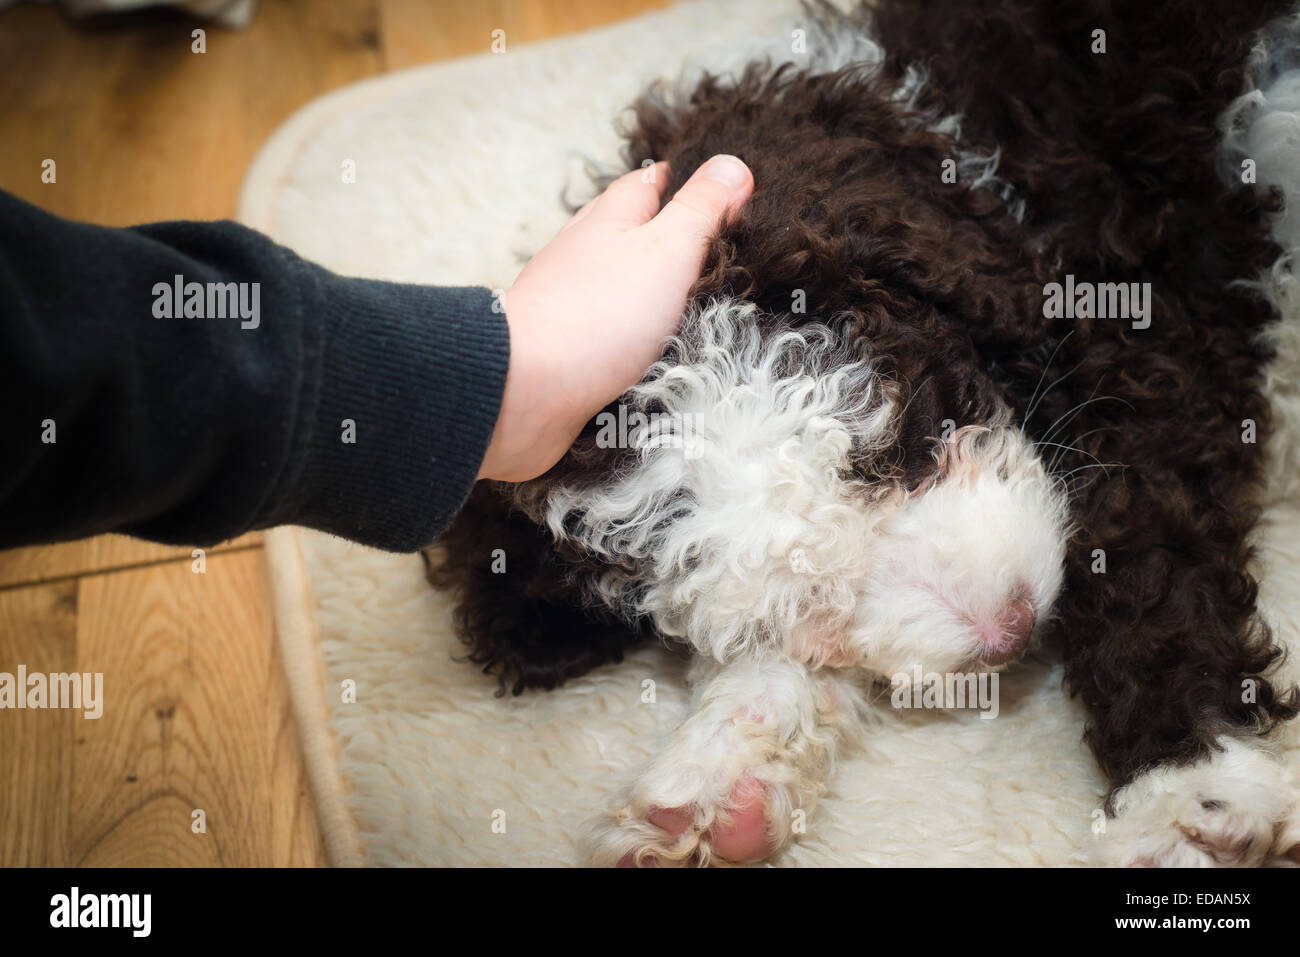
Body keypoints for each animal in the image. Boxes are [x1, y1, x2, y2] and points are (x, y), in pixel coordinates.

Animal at [426, 0, 1300, 868]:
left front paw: (1191, 786)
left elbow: (1146, 554)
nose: (1009, 629)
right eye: (806, 610)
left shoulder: (1154, 341)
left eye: (907, 440)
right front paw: (718, 774)